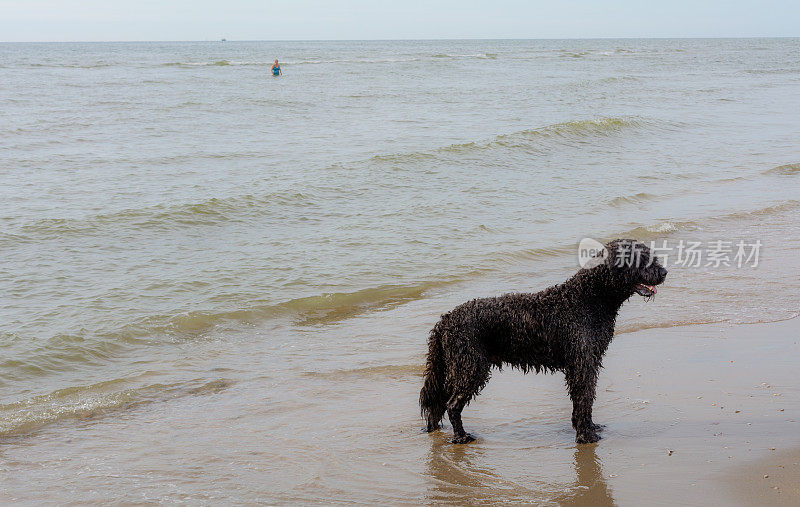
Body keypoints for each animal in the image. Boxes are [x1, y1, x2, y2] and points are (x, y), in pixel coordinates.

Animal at [422, 240, 664, 442]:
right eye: (641, 258)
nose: (664, 272)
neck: (589, 297)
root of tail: (446, 320)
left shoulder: (588, 362)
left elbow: (585, 401)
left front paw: (588, 427)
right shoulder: (581, 364)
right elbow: (584, 398)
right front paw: (585, 435)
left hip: (457, 368)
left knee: (440, 401)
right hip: (471, 368)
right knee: (452, 404)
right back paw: (461, 437)